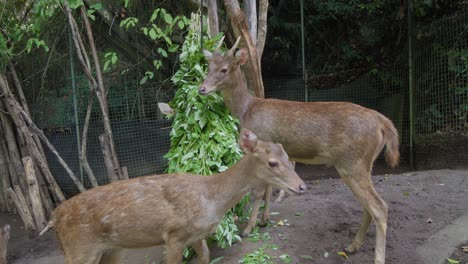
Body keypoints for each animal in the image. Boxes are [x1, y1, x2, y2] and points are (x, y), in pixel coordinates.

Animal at [42, 128, 306, 264]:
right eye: (272, 163)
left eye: (286, 156)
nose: (302, 186)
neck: (210, 200)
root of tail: (54, 217)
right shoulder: (174, 234)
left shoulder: (196, 235)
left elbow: (206, 257)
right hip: (80, 249)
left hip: (111, 249)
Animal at [199, 36, 400, 264]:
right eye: (208, 66)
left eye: (224, 69)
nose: (202, 89)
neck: (246, 110)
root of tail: (382, 122)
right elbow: (269, 187)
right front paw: (264, 220)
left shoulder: (262, 142)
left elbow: (258, 192)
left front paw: (248, 228)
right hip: (364, 164)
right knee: (369, 206)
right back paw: (352, 245)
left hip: (352, 163)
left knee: (379, 207)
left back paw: (375, 256)